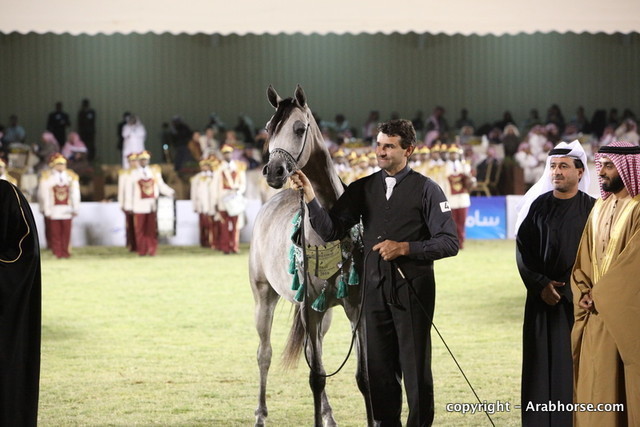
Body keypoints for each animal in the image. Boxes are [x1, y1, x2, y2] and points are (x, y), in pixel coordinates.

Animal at [249, 85, 372, 426]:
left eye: (299, 128)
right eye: (269, 128)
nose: (274, 171)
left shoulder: (355, 309)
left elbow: (363, 377)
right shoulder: (308, 309)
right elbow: (316, 377)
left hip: (324, 314)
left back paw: (328, 414)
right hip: (265, 299)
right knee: (264, 354)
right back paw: (261, 414)